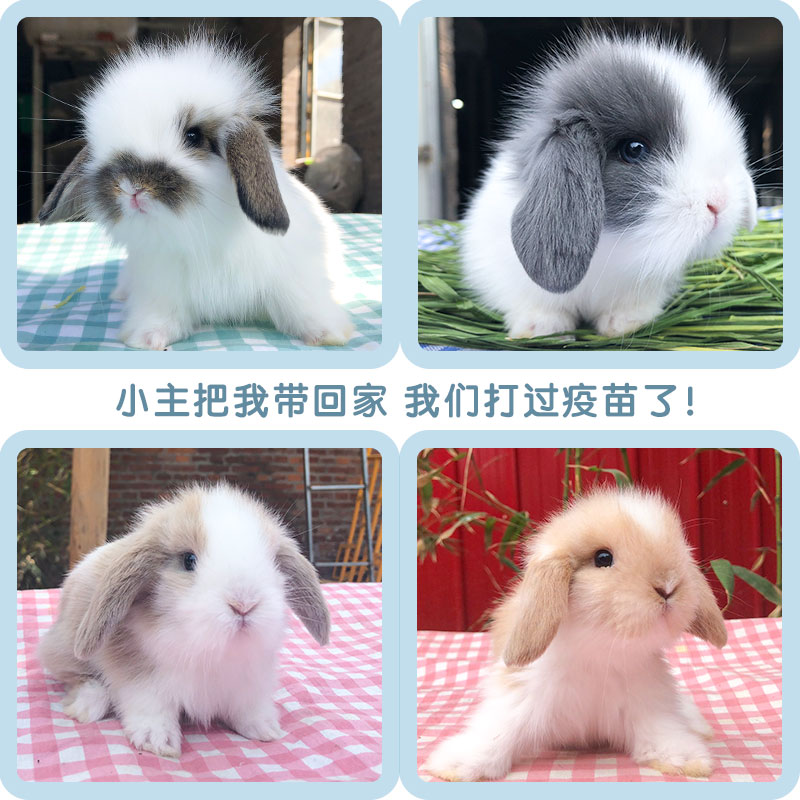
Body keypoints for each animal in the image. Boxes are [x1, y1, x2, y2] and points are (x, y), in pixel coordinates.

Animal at [38, 34, 353, 349]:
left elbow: (302, 303)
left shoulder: (293, 274)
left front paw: (329, 333)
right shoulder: (160, 287)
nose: (130, 188)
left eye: (194, 136)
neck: (200, 235)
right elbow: (160, 314)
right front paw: (147, 337)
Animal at [38, 483, 330, 758]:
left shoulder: (249, 680)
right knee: (79, 678)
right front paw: (157, 741)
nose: (244, 604)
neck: (213, 650)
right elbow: (152, 706)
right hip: (65, 649)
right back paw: (86, 706)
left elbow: (248, 707)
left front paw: (265, 728)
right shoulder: (141, 677)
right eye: (189, 560)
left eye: (272, 562)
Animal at [425, 488, 728, 781]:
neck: (599, 655)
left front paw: (686, 760)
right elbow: (497, 732)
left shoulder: (649, 705)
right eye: (603, 558)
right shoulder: (520, 699)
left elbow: (661, 733)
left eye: (678, 548)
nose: (668, 586)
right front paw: (456, 764)